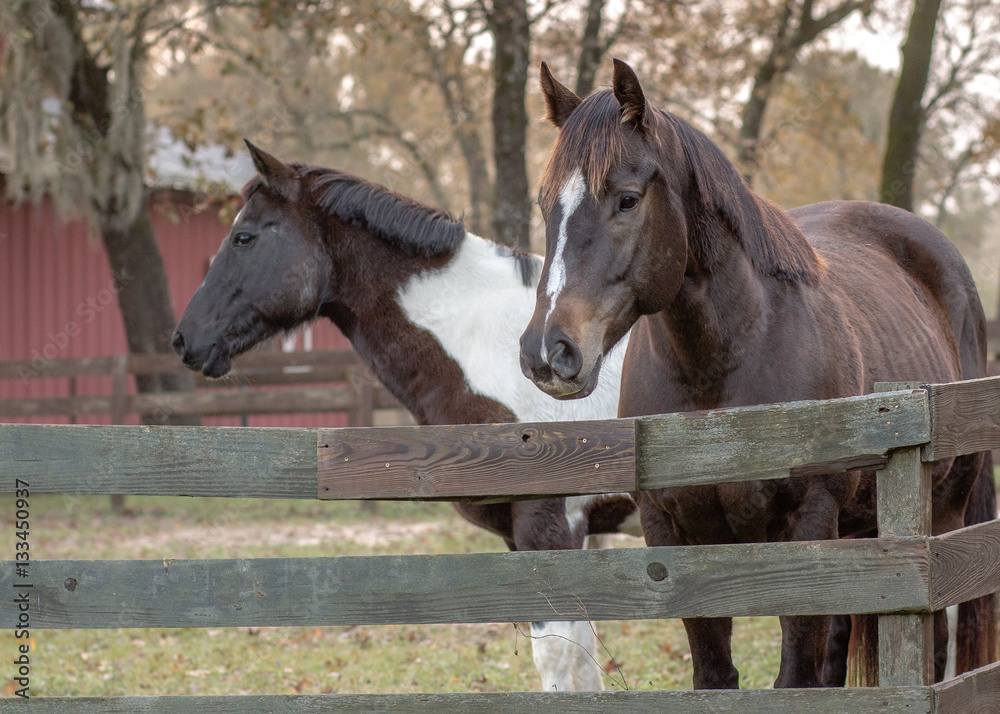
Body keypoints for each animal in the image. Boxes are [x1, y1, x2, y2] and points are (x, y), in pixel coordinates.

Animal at [171, 141, 640, 692]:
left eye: (244, 237)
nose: (185, 338)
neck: (491, 343)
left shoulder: (550, 528)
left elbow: (559, 658)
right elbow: (586, 662)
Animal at [518, 58, 997, 688]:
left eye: (626, 199)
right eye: (546, 204)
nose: (549, 351)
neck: (722, 374)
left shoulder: (806, 525)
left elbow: (793, 676)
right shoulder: (673, 534)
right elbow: (716, 674)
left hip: (940, 513)